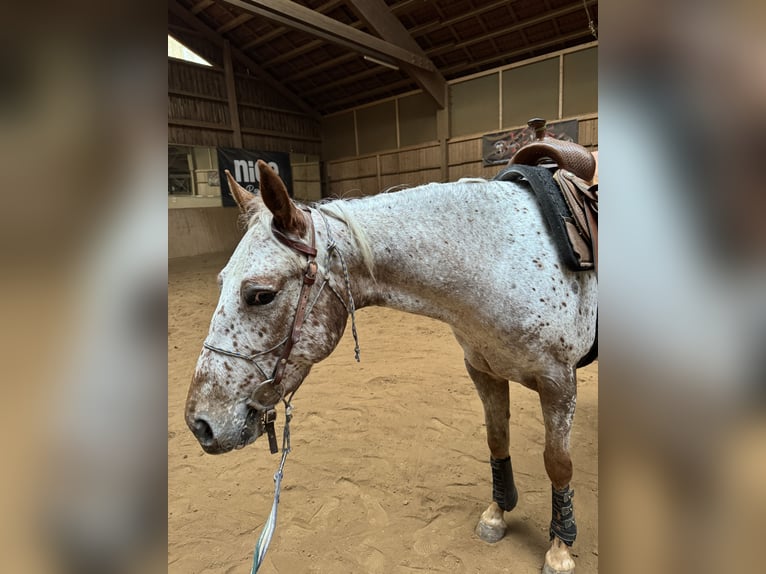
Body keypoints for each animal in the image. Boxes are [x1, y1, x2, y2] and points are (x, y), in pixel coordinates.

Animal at [186, 160, 600, 572]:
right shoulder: (483, 370)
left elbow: (558, 463)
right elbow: (497, 441)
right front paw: (497, 514)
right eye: (221, 282)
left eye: (261, 295)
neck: (501, 258)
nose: (199, 424)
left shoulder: (558, 381)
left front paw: (560, 548)